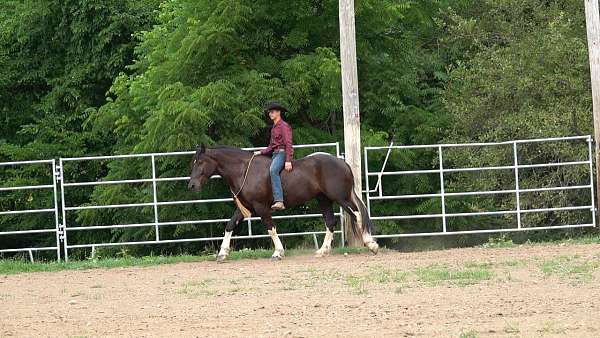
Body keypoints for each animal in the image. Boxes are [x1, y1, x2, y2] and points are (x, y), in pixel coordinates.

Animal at [188, 145, 378, 262]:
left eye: (201, 162)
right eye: (193, 162)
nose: (191, 185)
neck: (244, 171)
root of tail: (342, 163)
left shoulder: (261, 207)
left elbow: (270, 228)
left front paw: (278, 252)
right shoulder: (246, 208)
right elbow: (229, 225)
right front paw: (222, 253)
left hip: (341, 198)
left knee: (357, 215)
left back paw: (371, 244)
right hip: (324, 200)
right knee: (331, 222)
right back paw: (322, 251)